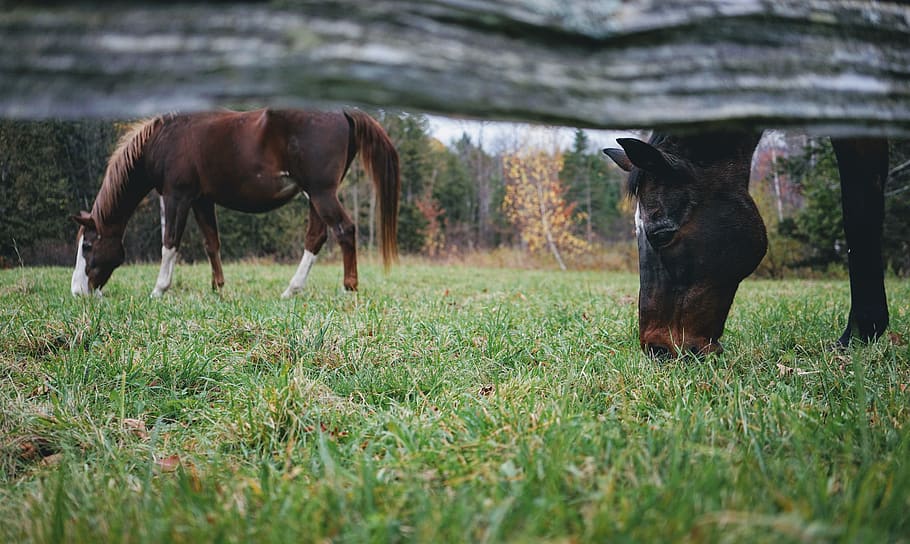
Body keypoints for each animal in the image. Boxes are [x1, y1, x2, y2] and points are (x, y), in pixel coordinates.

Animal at [70, 108, 400, 298]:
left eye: (88, 245)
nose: (77, 292)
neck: (163, 138)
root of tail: (343, 112)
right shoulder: (202, 200)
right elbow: (211, 243)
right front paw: (217, 287)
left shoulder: (177, 196)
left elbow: (170, 243)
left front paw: (159, 289)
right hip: (315, 196)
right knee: (316, 237)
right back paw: (292, 290)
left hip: (321, 193)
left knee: (344, 230)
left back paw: (349, 287)